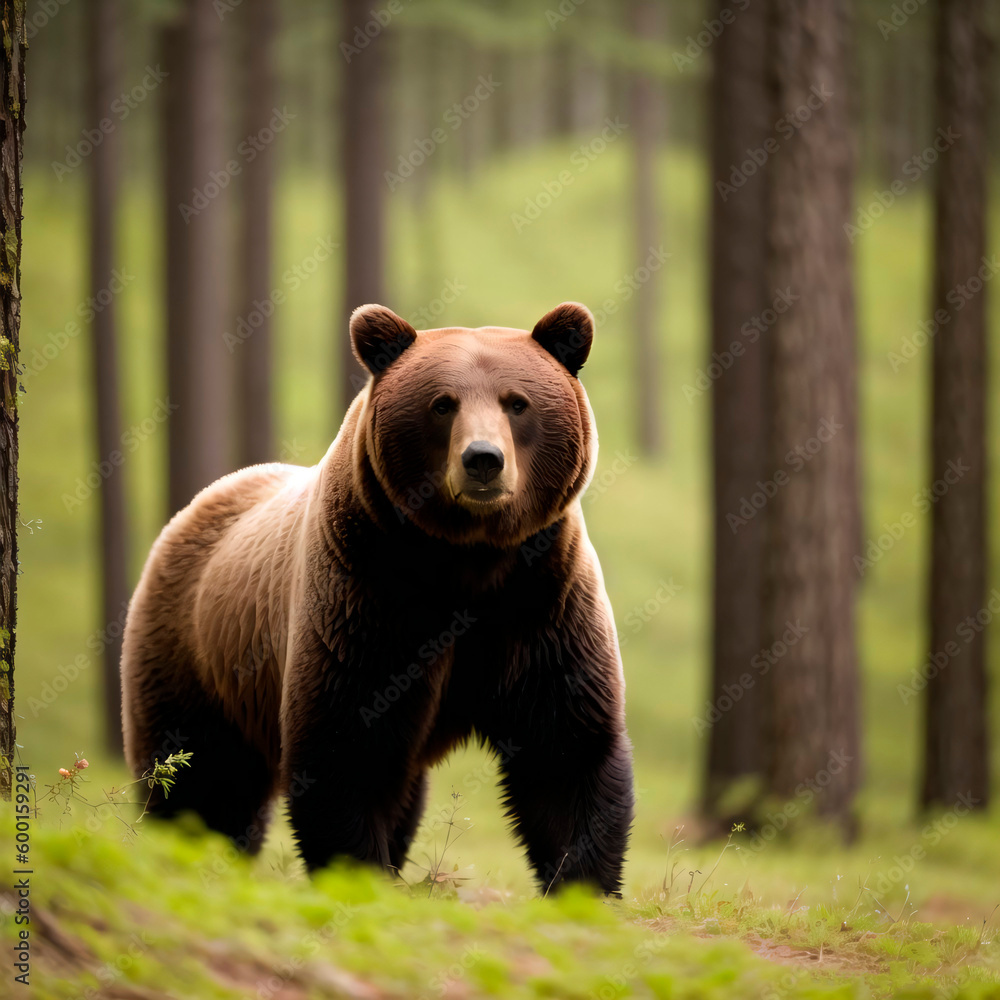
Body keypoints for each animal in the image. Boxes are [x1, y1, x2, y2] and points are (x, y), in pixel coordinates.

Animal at [120, 301, 634, 894]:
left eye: (517, 402)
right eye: (442, 404)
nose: (483, 460)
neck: (469, 558)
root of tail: (198, 503)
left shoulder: (542, 600)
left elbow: (565, 749)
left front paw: (581, 884)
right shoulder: (370, 597)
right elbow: (347, 746)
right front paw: (360, 872)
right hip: (196, 650)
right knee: (197, 774)